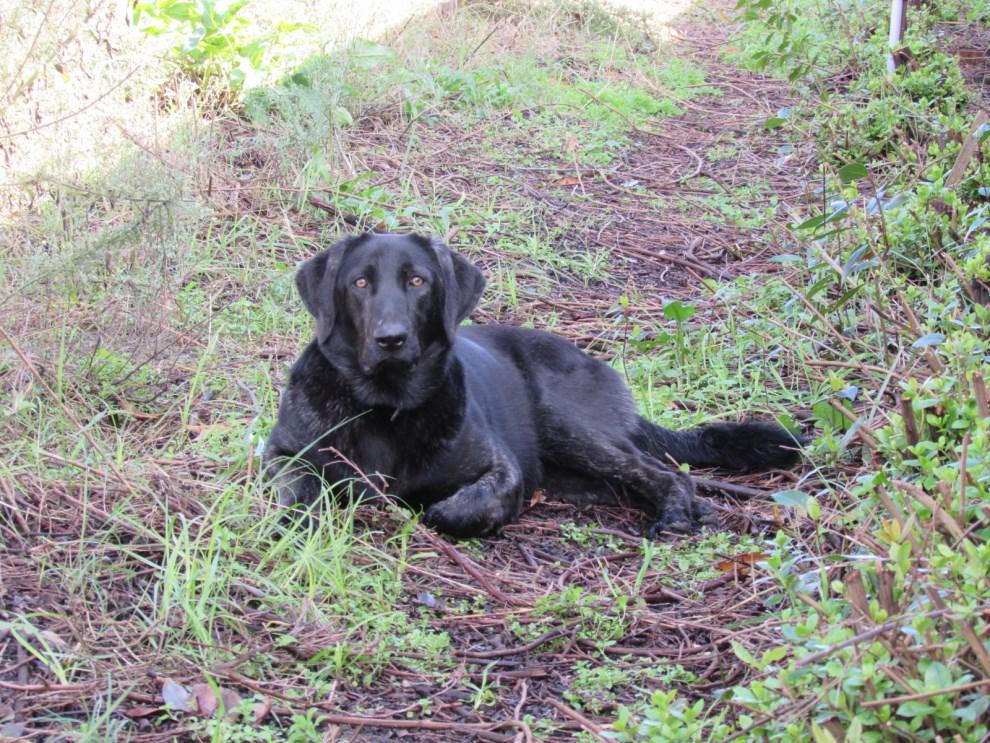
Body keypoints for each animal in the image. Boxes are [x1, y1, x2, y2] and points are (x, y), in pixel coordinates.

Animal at [266, 235, 808, 536]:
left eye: (418, 281)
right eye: (359, 283)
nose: (391, 339)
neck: (385, 406)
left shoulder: (502, 468)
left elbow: (462, 508)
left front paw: (442, 510)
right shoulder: (282, 452)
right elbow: (295, 488)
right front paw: (301, 518)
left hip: (565, 425)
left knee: (667, 474)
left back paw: (678, 514)